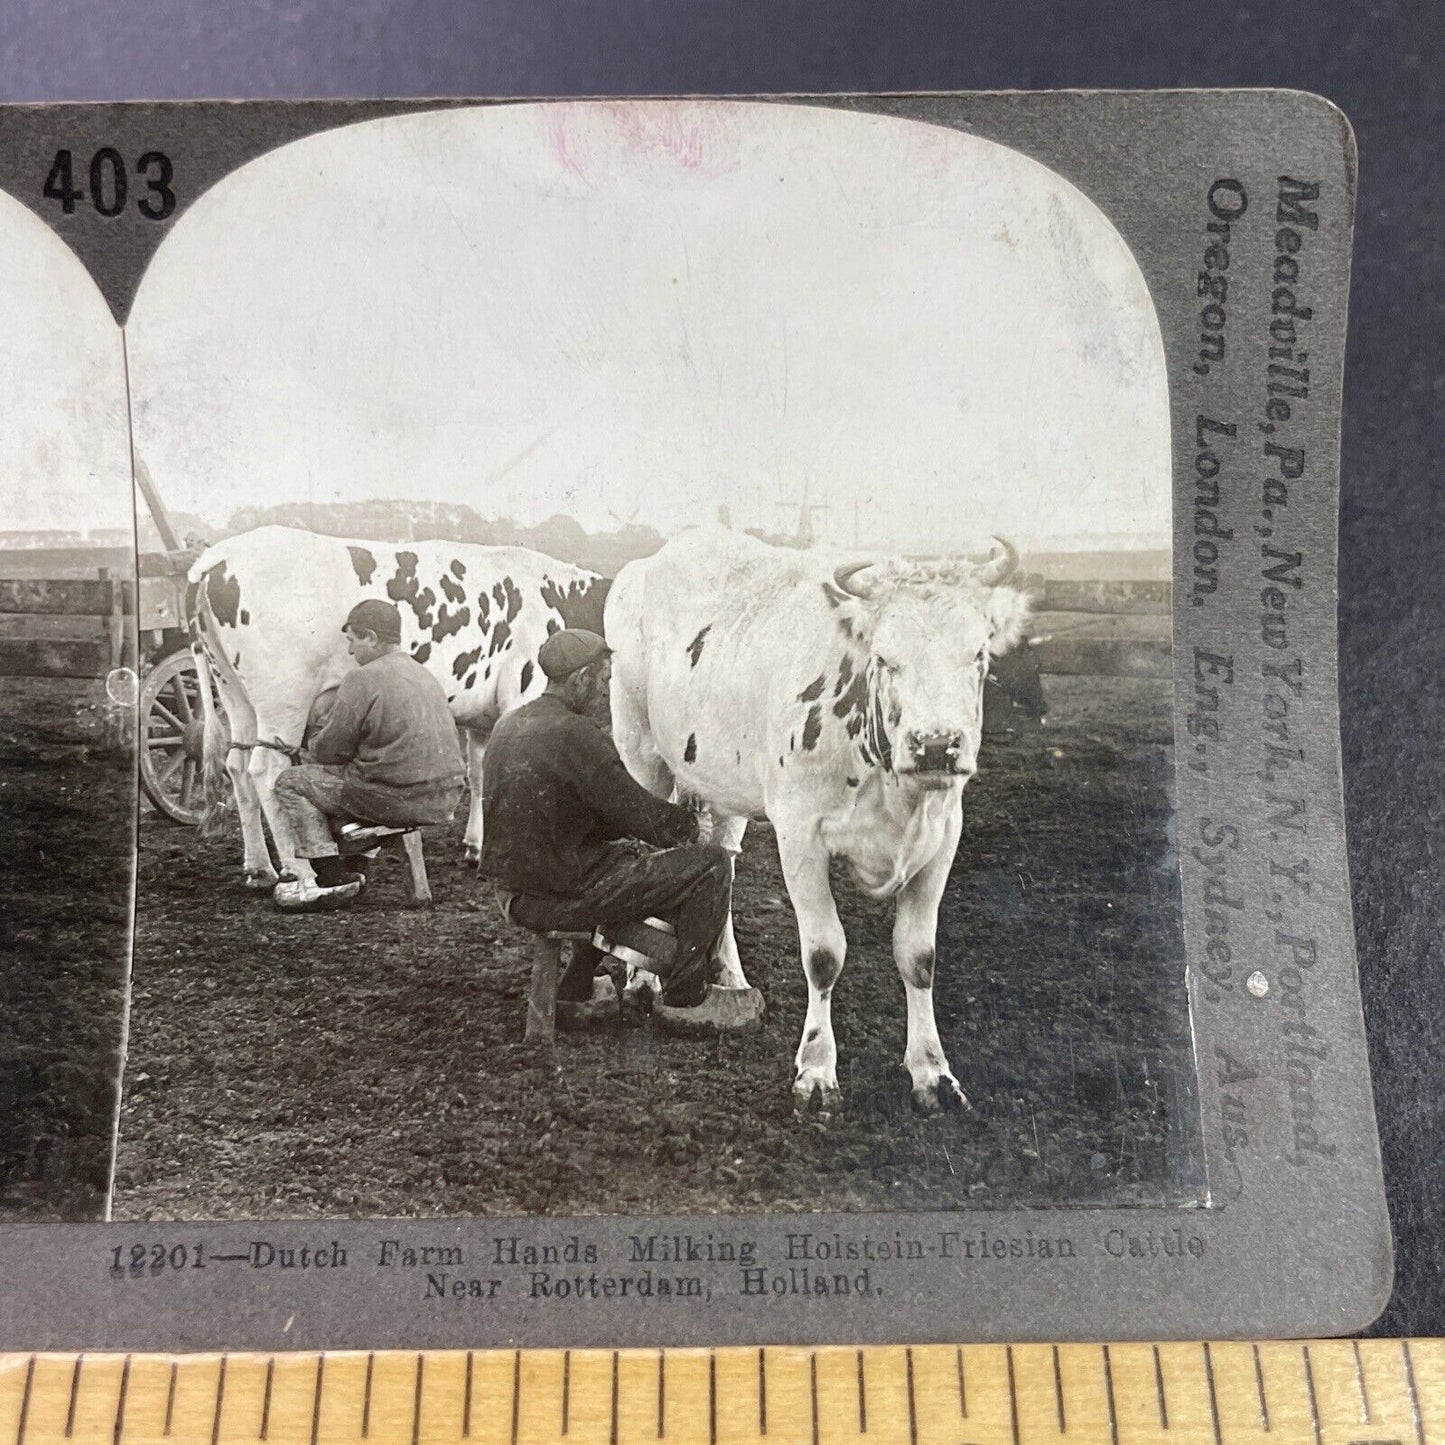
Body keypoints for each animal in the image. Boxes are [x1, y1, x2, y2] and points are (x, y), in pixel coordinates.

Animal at [187, 525, 609, 884]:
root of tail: (220, 556)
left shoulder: (482, 716)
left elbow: (479, 773)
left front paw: (476, 846)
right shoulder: (522, 691)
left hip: (235, 694)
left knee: (236, 765)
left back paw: (259, 869)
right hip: (283, 700)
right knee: (266, 770)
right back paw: (300, 871)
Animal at [604, 525, 1034, 1109]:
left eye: (979, 654)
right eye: (885, 658)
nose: (936, 745)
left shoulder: (943, 836)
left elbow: (919, 956)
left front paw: (932, 1071)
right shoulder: (800, 836)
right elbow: (824, 954)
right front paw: (815, 1069)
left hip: (723, 782)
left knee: (722, 859)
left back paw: (731, 977)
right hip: (642, 753)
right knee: (657, 847)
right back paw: (641, 983)